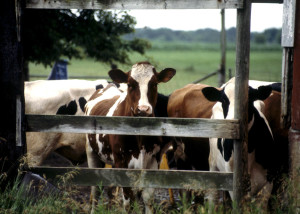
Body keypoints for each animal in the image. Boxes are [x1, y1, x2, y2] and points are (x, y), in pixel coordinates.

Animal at [84, 61, 176, 212]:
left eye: (154, 84)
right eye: (130, 84)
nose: (143, 109)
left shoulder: (153, 161)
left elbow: (148, 198)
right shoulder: (122, 162)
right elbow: (128, 202)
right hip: (91, 153)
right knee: (95, 190)